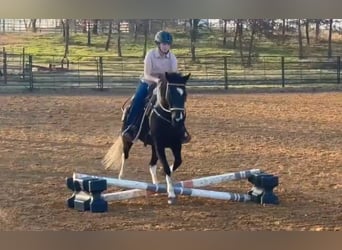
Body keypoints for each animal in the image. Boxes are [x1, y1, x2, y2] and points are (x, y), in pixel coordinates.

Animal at [103, 71, 191, 204]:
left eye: (184, 94)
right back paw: (121, 179)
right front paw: (171, 193)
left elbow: (177, 162)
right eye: (170, 93)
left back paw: (156, 186)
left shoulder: (176, 144)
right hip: (127, 139)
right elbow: (166, 167)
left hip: (153, 146)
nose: (178, 119)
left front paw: (165, 178)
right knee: (125, 155)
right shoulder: (159, 144)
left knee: (151, 164)